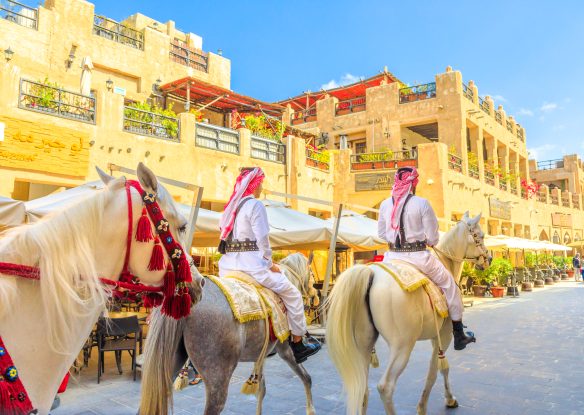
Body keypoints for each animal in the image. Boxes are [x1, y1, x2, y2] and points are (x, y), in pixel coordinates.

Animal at [328, 214, 488, 415]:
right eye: (480, 236)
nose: (489, 258)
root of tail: (370, 272)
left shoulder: (436, 337)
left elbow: (441, 369)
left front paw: (448, 398)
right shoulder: (443, 335)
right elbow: (436, 371)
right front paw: (431, 404)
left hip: (363, 344)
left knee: (362, 388)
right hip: (402, 346)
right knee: (385, 387)